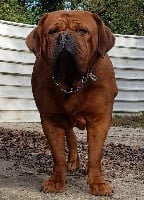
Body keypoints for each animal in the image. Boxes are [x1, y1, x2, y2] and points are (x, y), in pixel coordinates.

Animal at [26, 10, 118, 195]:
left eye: (82, 31)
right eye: (52, 32)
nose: (64, 36)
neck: (71, 81)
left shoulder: (99, 120)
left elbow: (95, 154)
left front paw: (98, 183)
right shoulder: (51, 120)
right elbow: (58, 154)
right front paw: (56, 181)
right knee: (71, 137)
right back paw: (73, 162)